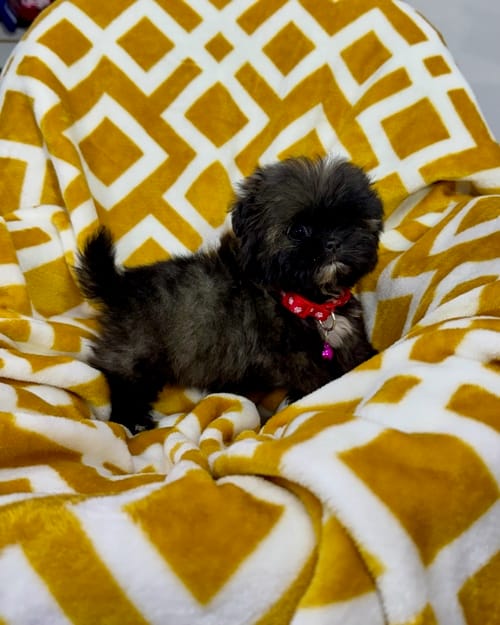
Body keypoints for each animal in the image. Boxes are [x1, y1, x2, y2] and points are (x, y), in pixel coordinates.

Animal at [76, 156, 383, 433]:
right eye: (298, 230)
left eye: (349, 221)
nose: (333, 242)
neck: (309, 302)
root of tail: (118, 284)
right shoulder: (291, 357)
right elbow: (314, 379)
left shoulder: (346, 334)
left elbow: (355, 352)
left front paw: (369, 360)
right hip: (137, 350)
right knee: (121, 379)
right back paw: (133, 420)